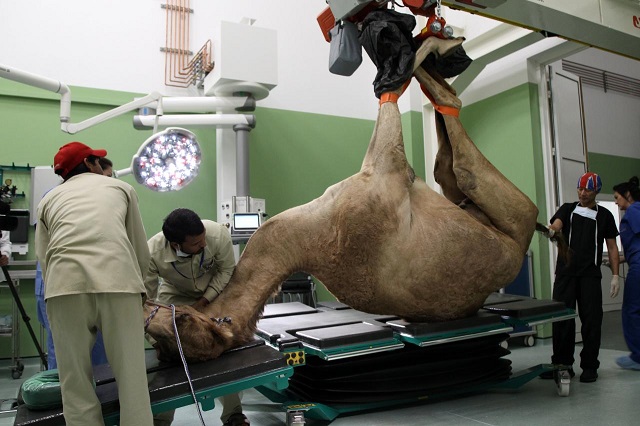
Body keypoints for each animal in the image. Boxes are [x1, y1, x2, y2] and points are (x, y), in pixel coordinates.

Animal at [144, 37, 544, 362]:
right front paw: (406, 57)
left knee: (446, 160)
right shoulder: (385, 171)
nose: (148, 310)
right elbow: (391, 97)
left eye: (170, 321)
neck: (308, 240)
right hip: (513, 222)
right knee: (460, 153)